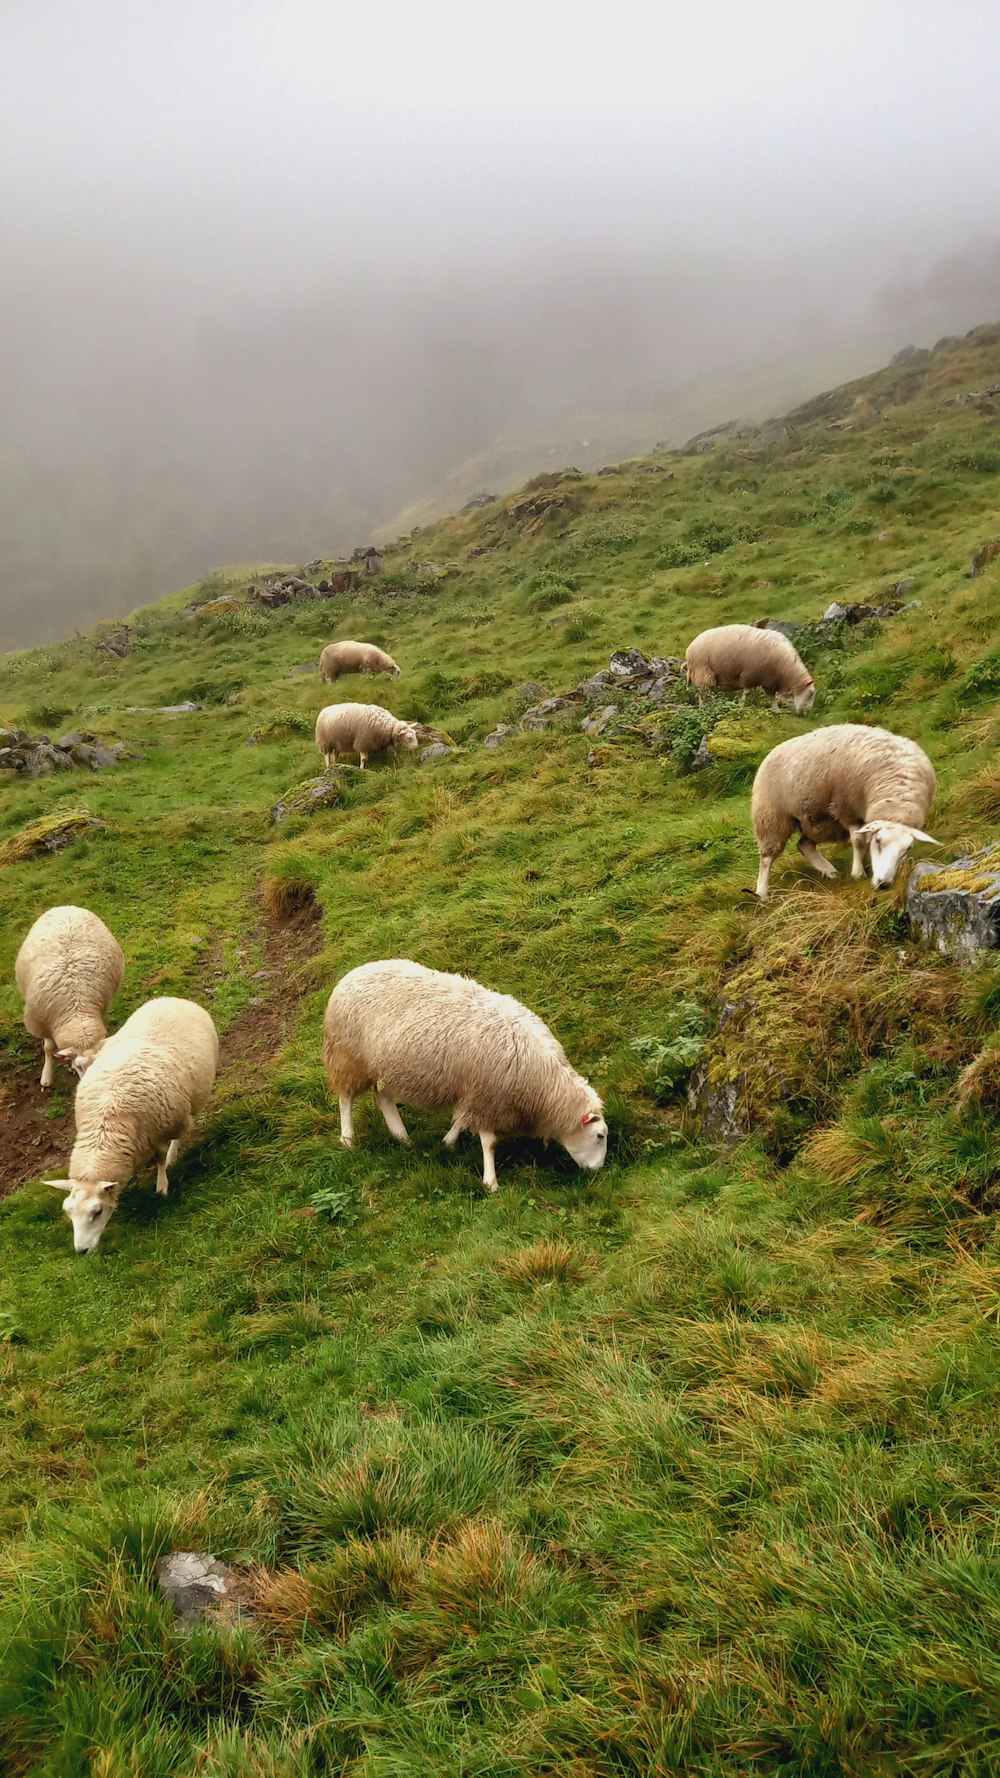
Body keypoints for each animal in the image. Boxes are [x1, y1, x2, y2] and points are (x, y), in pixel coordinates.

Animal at [13, 910, 124, 1088]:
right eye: (78, 1067)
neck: (75, 1009)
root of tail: (65, 908)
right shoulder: (42, 1022)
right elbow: (48, 1049)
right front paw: (46, 1077)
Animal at [45, 1002, 217, 1251]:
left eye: (97, 1212)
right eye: (68, 1212)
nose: (82, 1250)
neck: (106, 1124)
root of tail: (169, 999)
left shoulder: (159, 1129)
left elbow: (160, 1157)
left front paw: (162, 1186)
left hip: (183, 1107)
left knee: (180, 1131)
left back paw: (174, 1152)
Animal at [320, 960, 608, 1194]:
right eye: (600, 1136)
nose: (598, 1172)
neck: (543, 1083)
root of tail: (352, 974)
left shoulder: (474, 1092)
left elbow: (462, 1119)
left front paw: (449, 1141)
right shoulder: (487, 1095)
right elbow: (489, 1143)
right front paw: (490, 1182)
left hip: (388, 1064)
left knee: (383, 1097)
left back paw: (401, 1136)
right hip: (348, 1056)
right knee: (346, 1098)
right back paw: (348, 1139)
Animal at [679, 622, 814, 711]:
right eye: (811, 694)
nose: (806, 713)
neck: (786, 668)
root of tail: (689, 649)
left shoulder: (768, 680)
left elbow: (771, 696)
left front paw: (776, 710)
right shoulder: (750, 674)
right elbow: (747, 692)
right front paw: (741, 705)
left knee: (709, 691)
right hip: (703, 671)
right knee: (703, 693)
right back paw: (704, 707)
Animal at [750, 718, 939, 896]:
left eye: (907, 849)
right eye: (878, 841)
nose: (883, 884)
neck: (898, 793)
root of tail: (775, 749)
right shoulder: (848, 808)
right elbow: (858, 842)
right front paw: (858, 872)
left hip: (818, 821)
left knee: (804, 845)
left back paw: (830, 871)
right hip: (772, 817)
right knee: (767, 858)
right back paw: (762, 893)